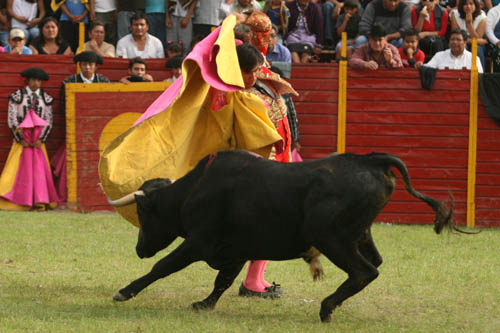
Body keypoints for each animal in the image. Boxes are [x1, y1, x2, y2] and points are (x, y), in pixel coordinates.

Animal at [109, 150, 454, 322]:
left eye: (143, 213)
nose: (139, 249)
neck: (193, 189)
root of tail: (370, 160)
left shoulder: (198, 242)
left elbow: (163, 266)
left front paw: (124, 292)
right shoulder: (235, 250)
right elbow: (222, 281)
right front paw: (204, 304)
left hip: (331, 238)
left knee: (364, 271)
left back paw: (326, 308)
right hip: (359, 235)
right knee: (374, 264)